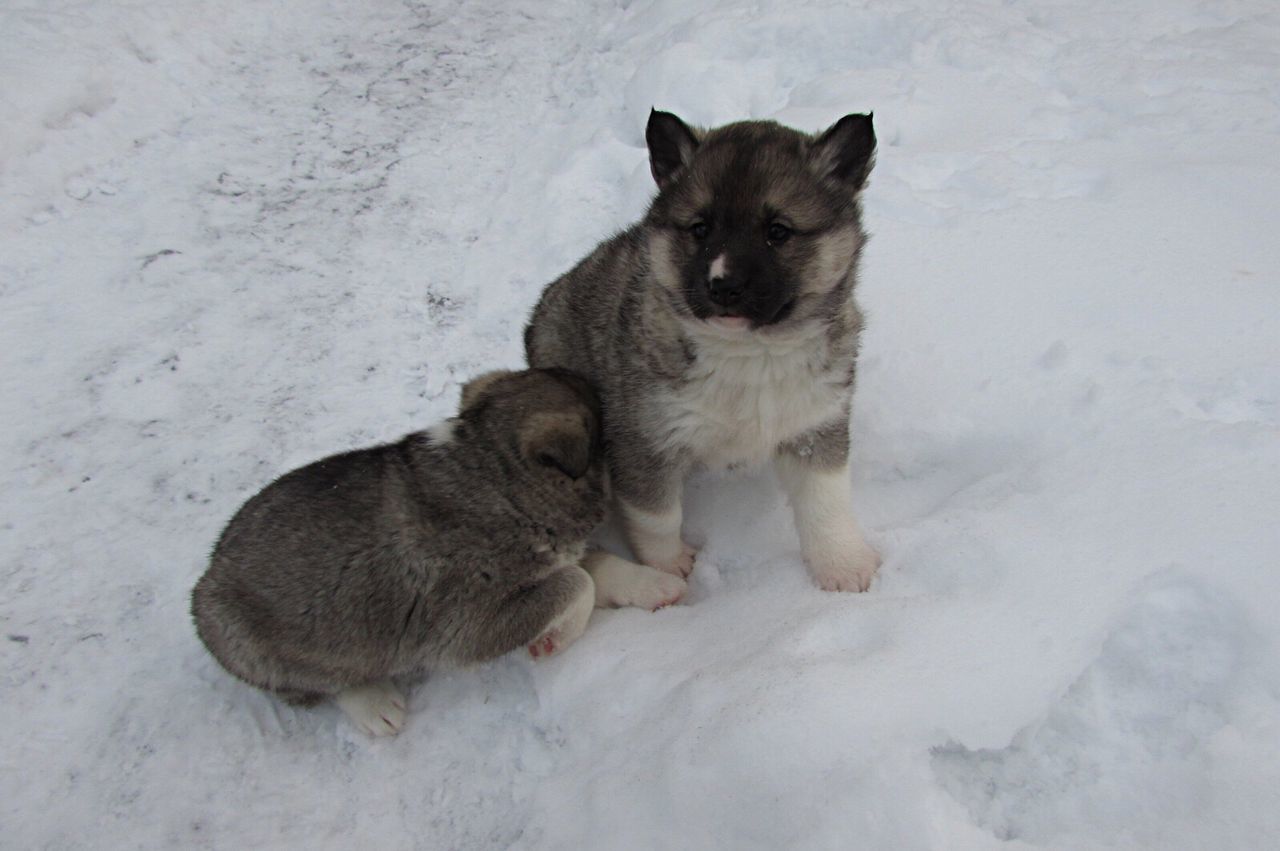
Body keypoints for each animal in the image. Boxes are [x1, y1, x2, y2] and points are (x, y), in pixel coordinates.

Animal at [188, 368, 680, 731]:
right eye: (607, 438)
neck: (496, 477)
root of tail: (209, 570)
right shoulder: (462, 625)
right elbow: (577, 582)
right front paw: (553, 639)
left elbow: (594, 567)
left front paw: (655, 584)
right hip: (250, 639)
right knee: (320, 683)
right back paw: (374, 705)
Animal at [527, 108, 880, 591]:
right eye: (700, 228)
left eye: (778, 231)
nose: (723, 286)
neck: (750, 353)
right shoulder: (645, 440)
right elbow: (658, 515)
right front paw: (667, 568)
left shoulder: (815, 423)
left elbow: (826, 500)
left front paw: (842, 564)